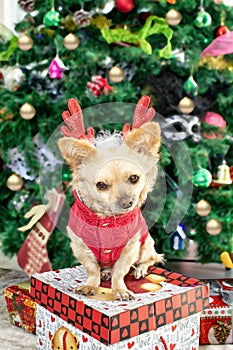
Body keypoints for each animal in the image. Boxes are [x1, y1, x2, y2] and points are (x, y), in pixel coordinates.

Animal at [58, 96, 164, 300]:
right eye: (101, 185)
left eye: (134, 178)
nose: (127, 202)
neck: (106, 219)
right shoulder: (79, 246)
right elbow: (92, 269)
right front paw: (91, 284)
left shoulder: (131, 247)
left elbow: (120, 271)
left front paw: (120, 290)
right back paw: (105, 272)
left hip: (146, 245)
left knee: (152, 259)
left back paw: (139, 269)